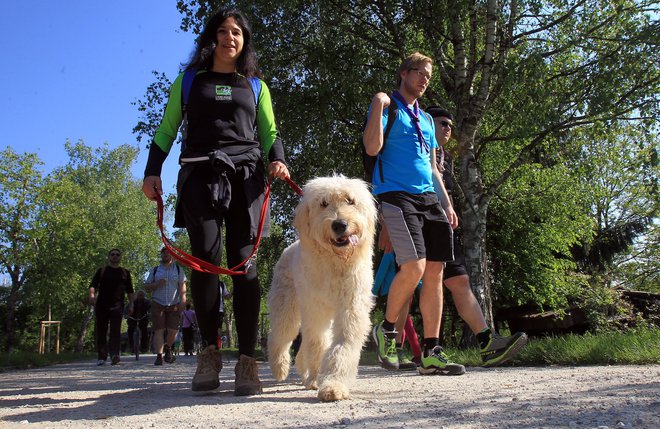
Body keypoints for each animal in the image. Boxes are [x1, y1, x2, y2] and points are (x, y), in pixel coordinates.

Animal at [268, 175, 376, 402]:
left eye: (350, 200)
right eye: (324, 203)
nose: (340, 224)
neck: (336, 261)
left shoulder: (351, 309)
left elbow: (342, 345)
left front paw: (333, 384)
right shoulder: (317, 310)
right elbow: (318, 345)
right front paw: (320, 379)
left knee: (301, 348)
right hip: (287, 309)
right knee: (279, 337)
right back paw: (280, 367)